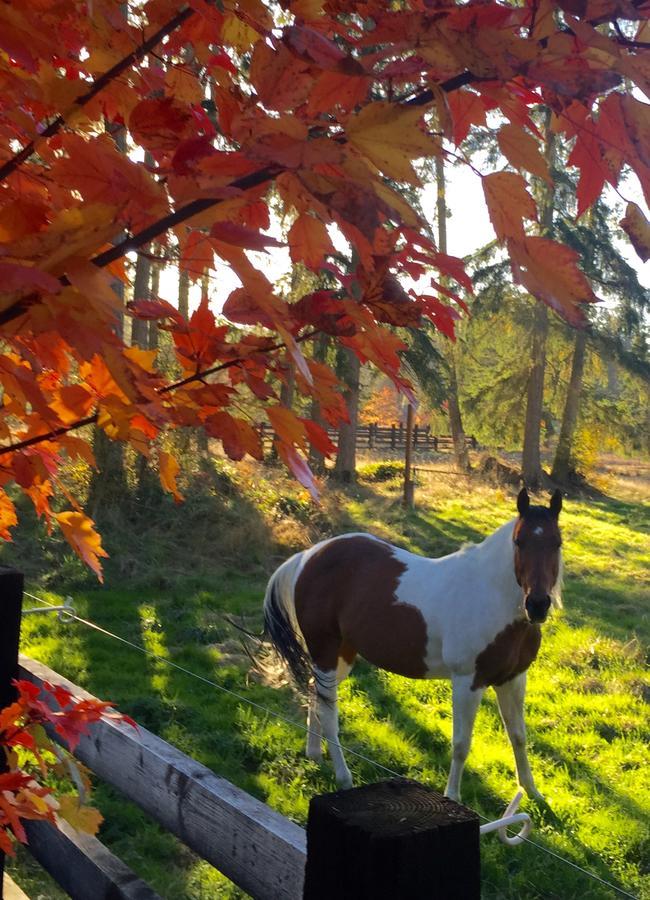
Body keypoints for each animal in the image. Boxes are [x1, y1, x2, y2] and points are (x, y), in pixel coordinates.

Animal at [260, 488, 560, 804]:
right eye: (519, 541)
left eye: (557, 543)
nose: (537, 605)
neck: (492, 595)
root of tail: (307, 556)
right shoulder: (468, 682)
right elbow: (461, 744)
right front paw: (452, 797)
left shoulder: (513, 679)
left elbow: (518, 735)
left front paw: (532, 792)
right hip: (325, 652)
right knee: (329, 714)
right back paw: (343, 778)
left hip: (339, 657)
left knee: (315, 694)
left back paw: (314, 754)